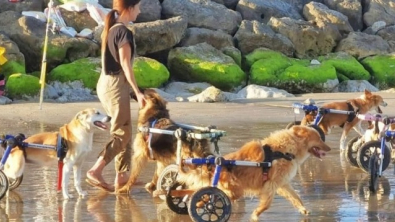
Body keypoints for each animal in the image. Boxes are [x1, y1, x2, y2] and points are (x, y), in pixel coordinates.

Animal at [177, 125, 332, 221]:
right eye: (319, 138)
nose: (329, 148)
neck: (286, 150)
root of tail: (213, 164)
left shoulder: (283, 184)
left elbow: (296, 198)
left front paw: (303, 209)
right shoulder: (271, 185)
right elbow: (266, 204)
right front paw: (255, 214)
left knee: (201, 196)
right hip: (235, 190)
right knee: (211, 199)